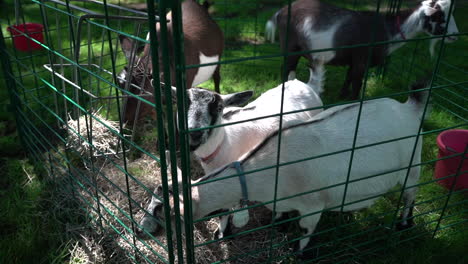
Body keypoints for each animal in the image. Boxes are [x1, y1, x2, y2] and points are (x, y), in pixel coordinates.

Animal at [138, 81, 428, 254]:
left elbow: (303, 233)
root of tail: (408, 108)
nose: (140, 230)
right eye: (180, 103)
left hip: (413, 165)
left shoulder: (312, 206)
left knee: (410, 196)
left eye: (162, 210)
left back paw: (404, 224)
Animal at [266, 0, 458, 99]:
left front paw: (341, 96)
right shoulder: (361, 60)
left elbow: (349, 78)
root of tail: (280, 12)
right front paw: (351, 102)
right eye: (439, 16)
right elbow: (357, 84)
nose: (455, 35)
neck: (386, 30)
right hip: (291, 46)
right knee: (286, 68)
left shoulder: (355, 59)